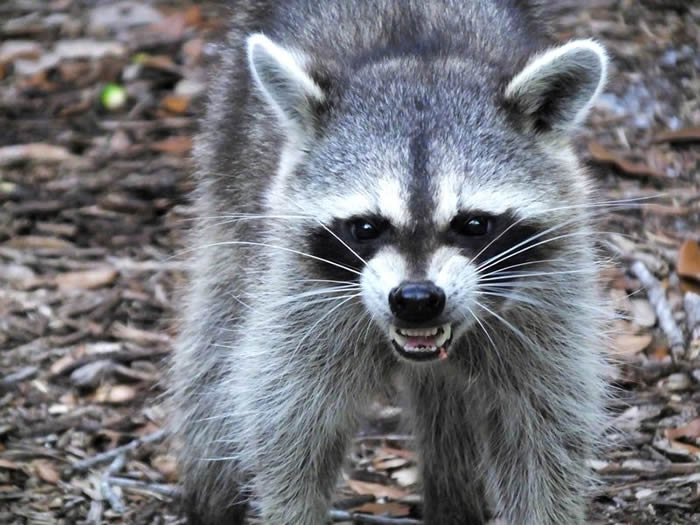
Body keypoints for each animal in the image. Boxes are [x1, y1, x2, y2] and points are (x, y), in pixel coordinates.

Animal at [171, 1, 611, 524]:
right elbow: (288, 428)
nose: (416, 300)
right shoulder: (298, 292)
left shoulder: (549, 293)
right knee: (214, 347)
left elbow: (544, 432)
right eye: (366, 227)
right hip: (231, 154)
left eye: (473, 224)